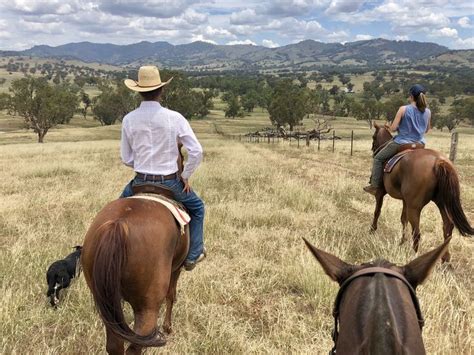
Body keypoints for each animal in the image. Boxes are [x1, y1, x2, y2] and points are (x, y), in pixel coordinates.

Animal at [81, 147, 189, 354]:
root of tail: (118, 225)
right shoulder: (176, 268)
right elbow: (172, 295)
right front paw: (168, 327)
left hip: (106, 304)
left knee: (115, 345)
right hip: (147, 308)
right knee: (135, 347)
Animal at [372, 123, 472, 262]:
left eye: (373, 137)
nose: (373, 150)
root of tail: (438, 161)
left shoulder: (380, 192)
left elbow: (377, 211)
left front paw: (372, 230)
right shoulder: (405, 200)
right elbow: (403, 219)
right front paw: (402, 241)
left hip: (415, 207)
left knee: (417, 233)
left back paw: (414, 257)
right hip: (441, 203)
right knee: (448, 226)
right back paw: (445, 259)